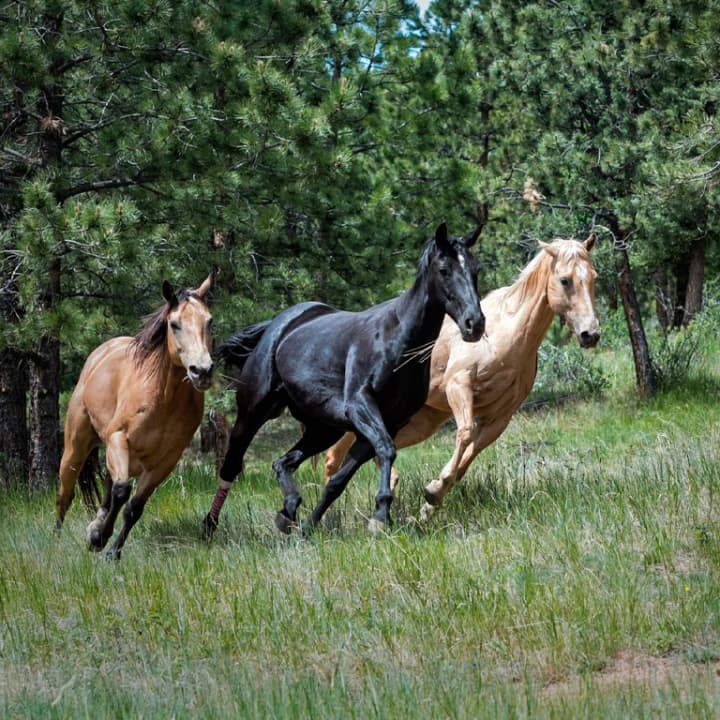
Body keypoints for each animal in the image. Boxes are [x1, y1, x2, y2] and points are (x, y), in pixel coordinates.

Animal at [56, 272, 215, 560]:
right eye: (174, 324)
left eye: (209, 321)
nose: (202, 371)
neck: (163, 397)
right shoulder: (119, 438)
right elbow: (121, 492)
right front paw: (99, 538)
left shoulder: (165, 461)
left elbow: (134, 506)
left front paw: (110, 550)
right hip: (75, 451)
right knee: (65, 495)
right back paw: (56, 541)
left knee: (108, 488)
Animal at [202, 224, 484, 536]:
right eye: (444, 269)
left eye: (475, 269)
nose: (474, 323)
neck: (397, 340)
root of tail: (277, 326)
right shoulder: (360, 406)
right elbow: (386, 449)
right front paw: (380, 515)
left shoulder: (384, 423)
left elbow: (339, 480)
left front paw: (310, 526)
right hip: (253, 413)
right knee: (231, 465)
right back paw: (210, 525)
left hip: (324, 429)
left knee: (282, 463)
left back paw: (288, 511)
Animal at [324, 233, 600, 520]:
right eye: (565, 280)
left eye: (594, 277)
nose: (590, 334)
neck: (507, 335)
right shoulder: (459, 386)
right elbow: (465, 433)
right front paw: (433, 491)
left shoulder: (500, 417)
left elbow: (470, 455)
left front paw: (431, 499)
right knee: (335, 455)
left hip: (422, 421)